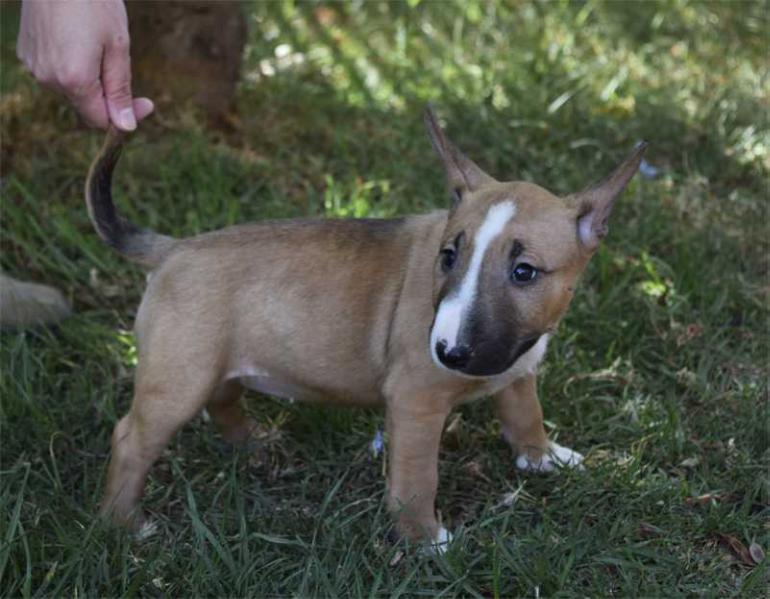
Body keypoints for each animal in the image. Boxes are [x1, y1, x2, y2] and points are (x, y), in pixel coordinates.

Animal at [87, 110, 644, 552]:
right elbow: (418, 477)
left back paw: (252, 443)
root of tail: (172, 249)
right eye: (449, 255)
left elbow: (526, 414)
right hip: (178, 377)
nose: (448, 352)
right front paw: (425, 541)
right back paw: (123, 524)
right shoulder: (416, 403)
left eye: (524, 272)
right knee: (131, 439)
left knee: (223, 398)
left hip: (214, 364)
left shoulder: (516, 371)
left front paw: (544, 457)